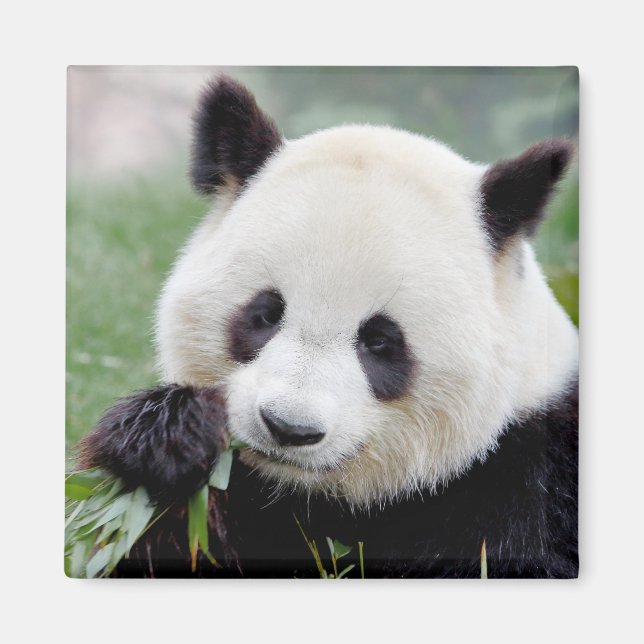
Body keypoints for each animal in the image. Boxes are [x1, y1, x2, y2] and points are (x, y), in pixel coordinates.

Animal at [81, 75, 579, 578]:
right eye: (265, 314)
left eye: (379, 342)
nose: (288, 428)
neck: (311, 495)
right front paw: (168, 439)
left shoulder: (528, 480)